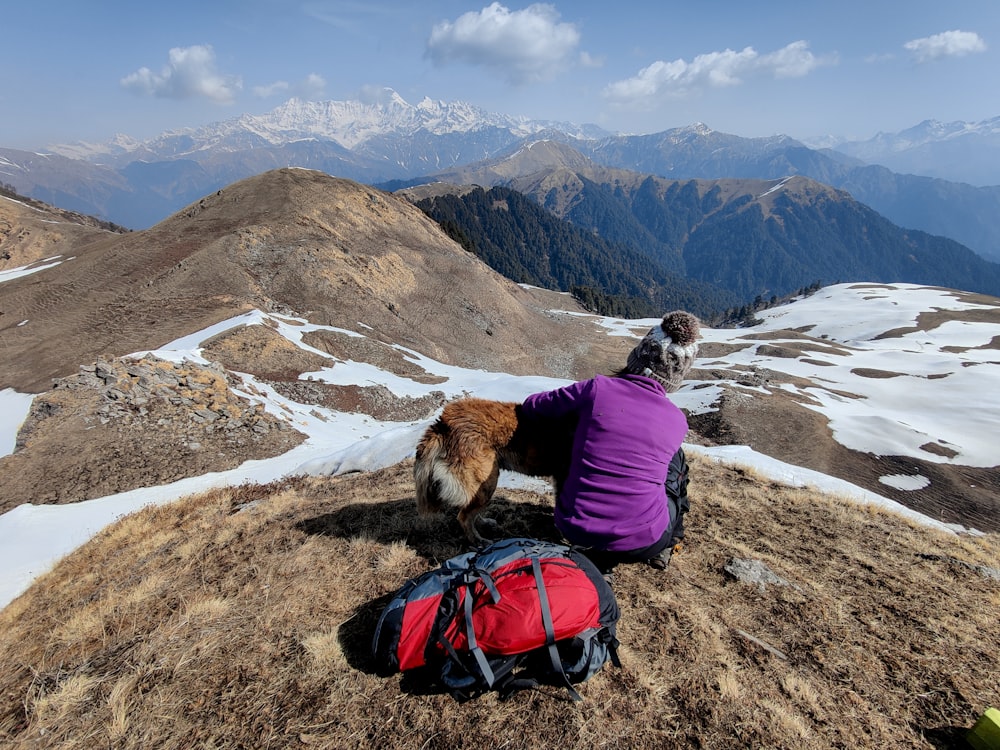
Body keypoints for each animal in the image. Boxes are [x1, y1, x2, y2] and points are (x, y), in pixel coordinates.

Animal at [412, 400, 572, 548]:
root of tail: (442, 424)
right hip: (487, 482)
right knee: (464, 516)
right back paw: (479, 541)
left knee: (469, 509)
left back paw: (484, 523)